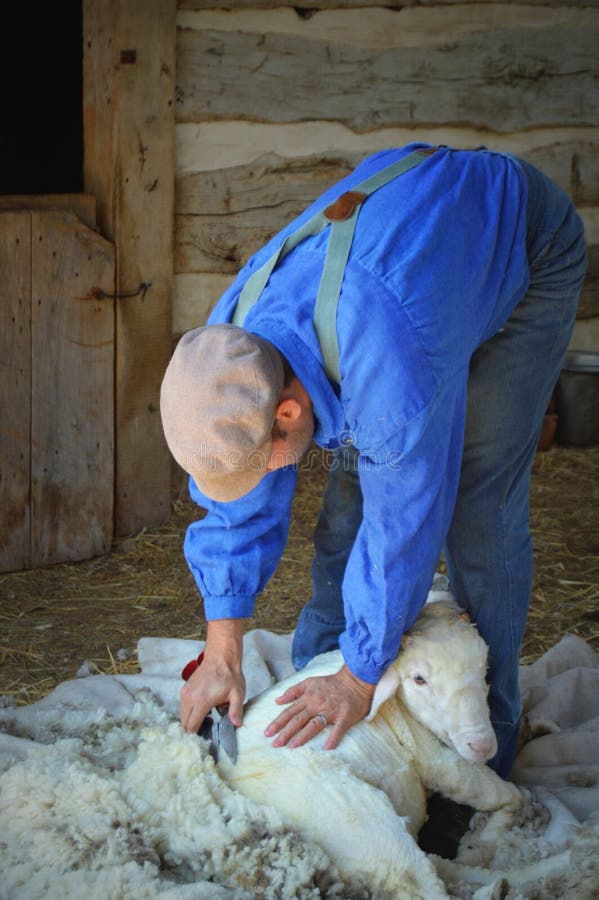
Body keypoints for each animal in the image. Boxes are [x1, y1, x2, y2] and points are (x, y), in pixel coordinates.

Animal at [217, 596, 523, 899]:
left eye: (484, 669)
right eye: (419, 679)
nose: (483, 746)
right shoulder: (436, 758)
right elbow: (505, 793)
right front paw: (489, 838)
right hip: (366, 826)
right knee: (422, 885)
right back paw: (497, 883)